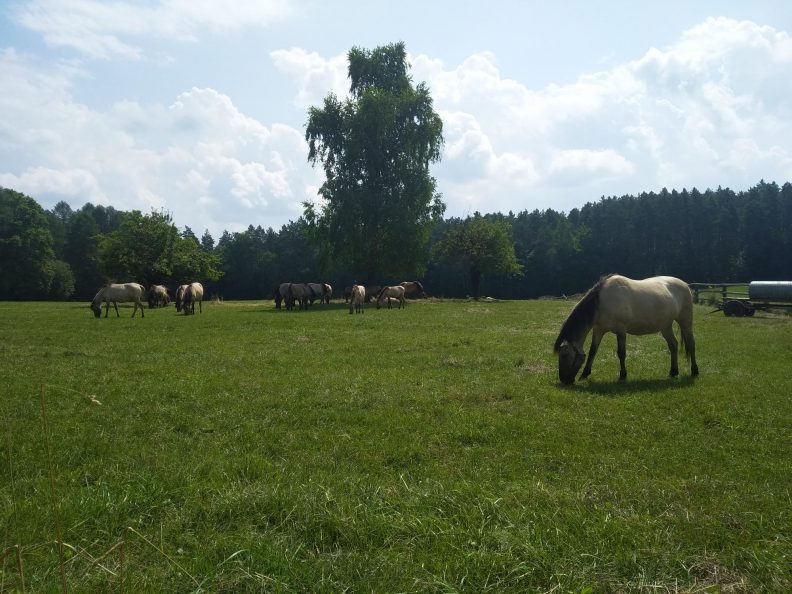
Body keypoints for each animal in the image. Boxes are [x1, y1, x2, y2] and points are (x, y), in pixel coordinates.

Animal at [552, 274, 700, 384]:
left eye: (564, 355)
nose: (564, 380)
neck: (602, 301)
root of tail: (685, 285)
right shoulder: (598, 330)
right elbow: (593, 351)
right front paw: (585, 374)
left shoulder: (621, 331)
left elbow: (621, 353)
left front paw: (623, 375)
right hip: (665, 326)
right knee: (673, 345)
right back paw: (673, 372)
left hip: (685, 322)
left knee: (691, 343)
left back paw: (694, 371)